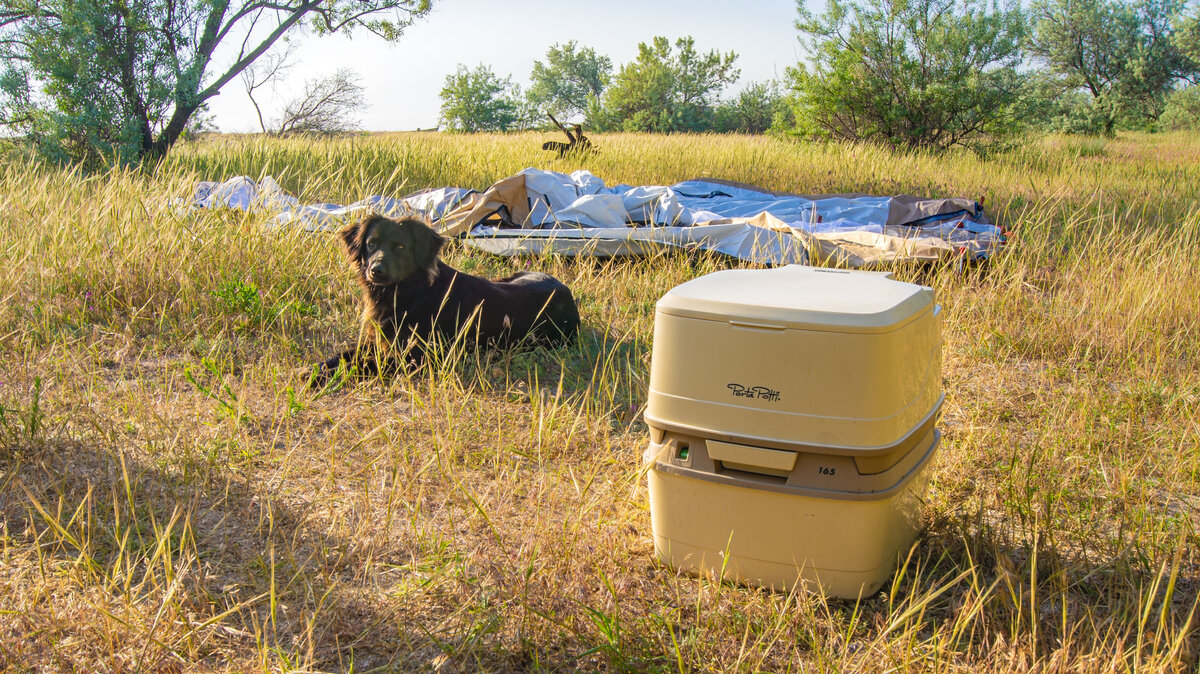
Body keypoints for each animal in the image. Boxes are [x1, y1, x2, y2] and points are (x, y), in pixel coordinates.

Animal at [309, 212, 580, 381]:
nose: (376, 270)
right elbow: (345, 354)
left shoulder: (414, 358)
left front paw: (320, 377)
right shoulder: (378, 341)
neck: (408, 292)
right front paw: (315, 367)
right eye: (371, 244)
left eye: (401, 247)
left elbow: (361, 364)